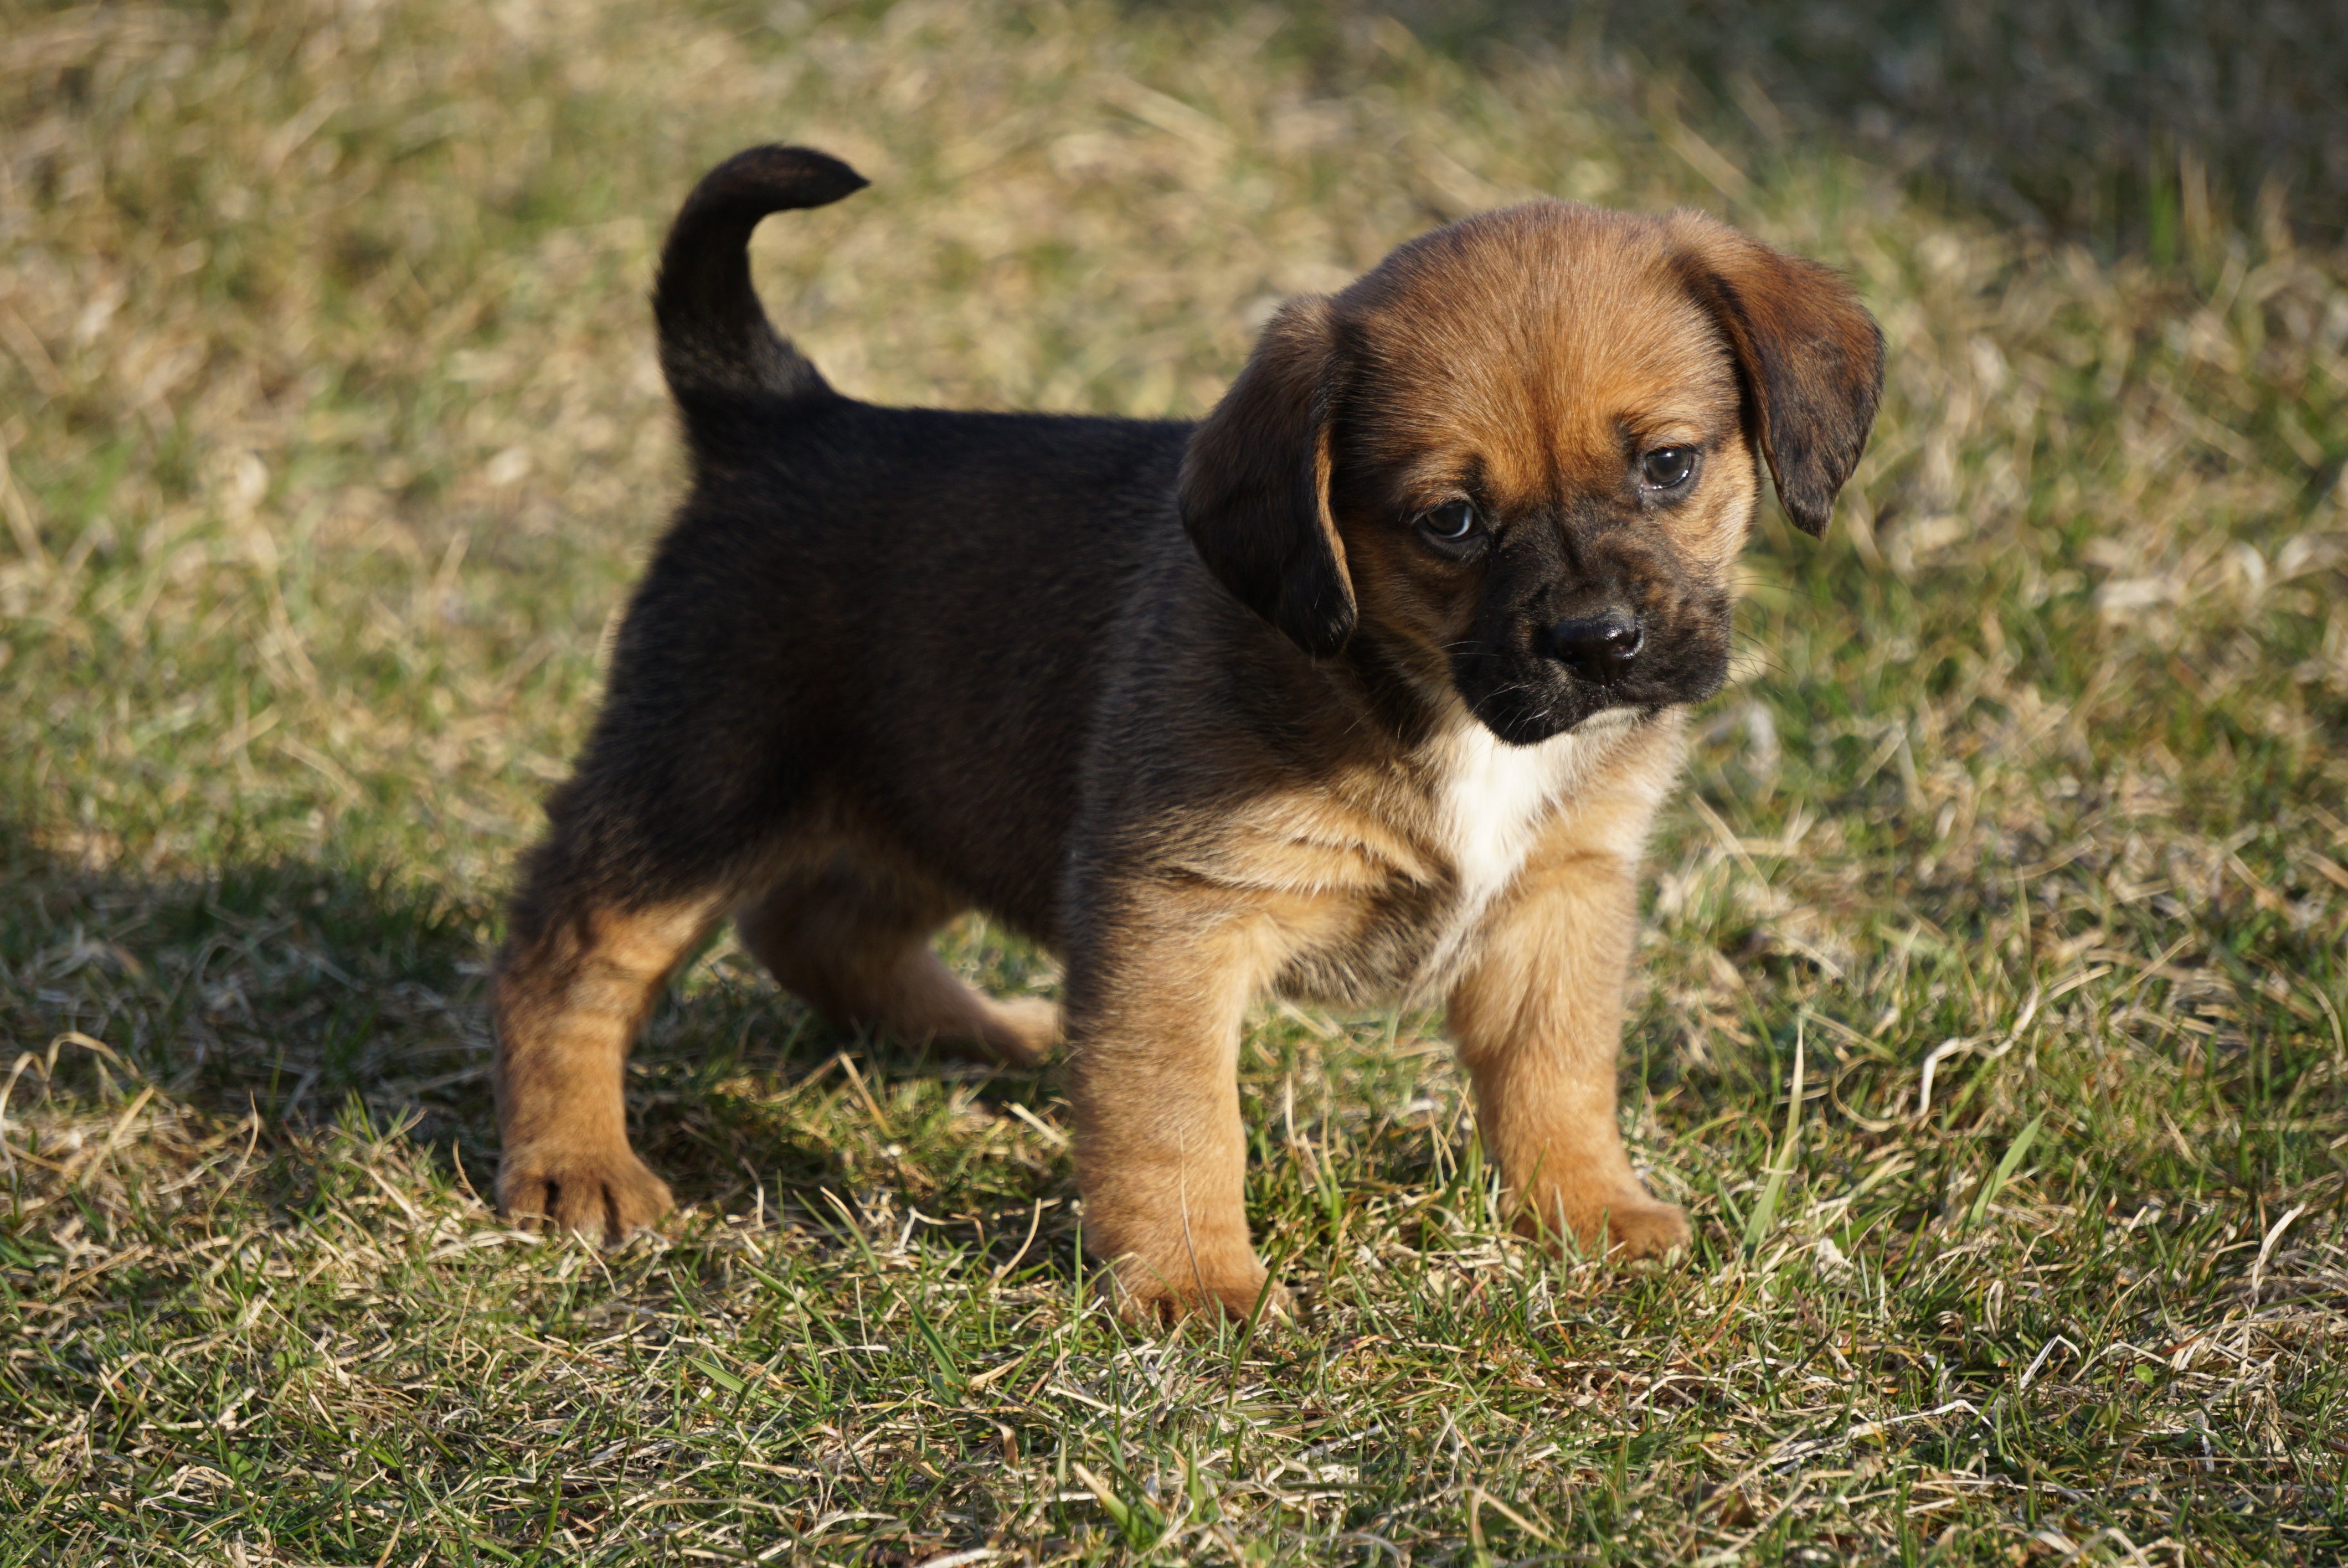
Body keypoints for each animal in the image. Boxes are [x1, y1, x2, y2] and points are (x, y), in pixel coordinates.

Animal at [486, 146, 1878, 1324]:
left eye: (1668, 466)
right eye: (1448, 521)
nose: (1596, 644)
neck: (1425, 694)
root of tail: (783, 417)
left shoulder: (1559, 898)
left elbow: (1555, 1078)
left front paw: (1586, 1212)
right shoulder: (1174, 912)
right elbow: (1175, 1117)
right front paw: (1194, 1281)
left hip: (941, 785)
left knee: (818, 924)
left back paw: (1002, 1032)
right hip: (699, 785)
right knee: (569, 953)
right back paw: (574, 1166)